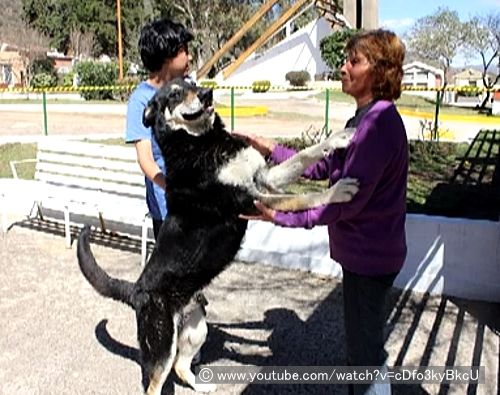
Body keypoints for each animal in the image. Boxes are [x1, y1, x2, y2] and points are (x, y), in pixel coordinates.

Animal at [76, 78, 360, 395]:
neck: (202, 143)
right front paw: (338, 191)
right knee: (155, 383)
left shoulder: (264, 179)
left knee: (181, 366)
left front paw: (340, 138)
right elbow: (303, 198)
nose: (206, 93)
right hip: (162, 345)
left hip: (196, 327)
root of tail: (136, 290)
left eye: (193, 81)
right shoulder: (252, 201)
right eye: (175, 93)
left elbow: (305, 155)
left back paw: (201, 386)